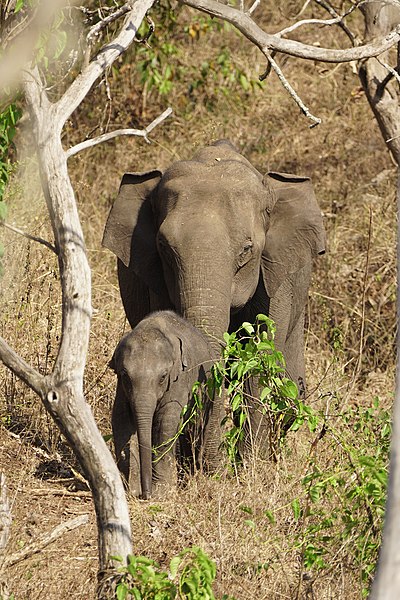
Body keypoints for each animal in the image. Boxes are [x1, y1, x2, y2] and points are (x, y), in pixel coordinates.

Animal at [103, 141, 324, 450]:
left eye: (246, 249)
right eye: (164, 246)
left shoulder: (275, 279)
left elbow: (259, 363)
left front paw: (250, 462)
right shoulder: (156, 280)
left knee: (292, 392)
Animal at [108, 312, 216, 500]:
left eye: (163, 377)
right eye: (125, 376)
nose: (146, 494)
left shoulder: (179, 379)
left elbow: (166, 423)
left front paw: (161, 493)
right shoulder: (120, 387)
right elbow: (120, 419)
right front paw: (131, 490)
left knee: (195, 430)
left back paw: (190, 480)